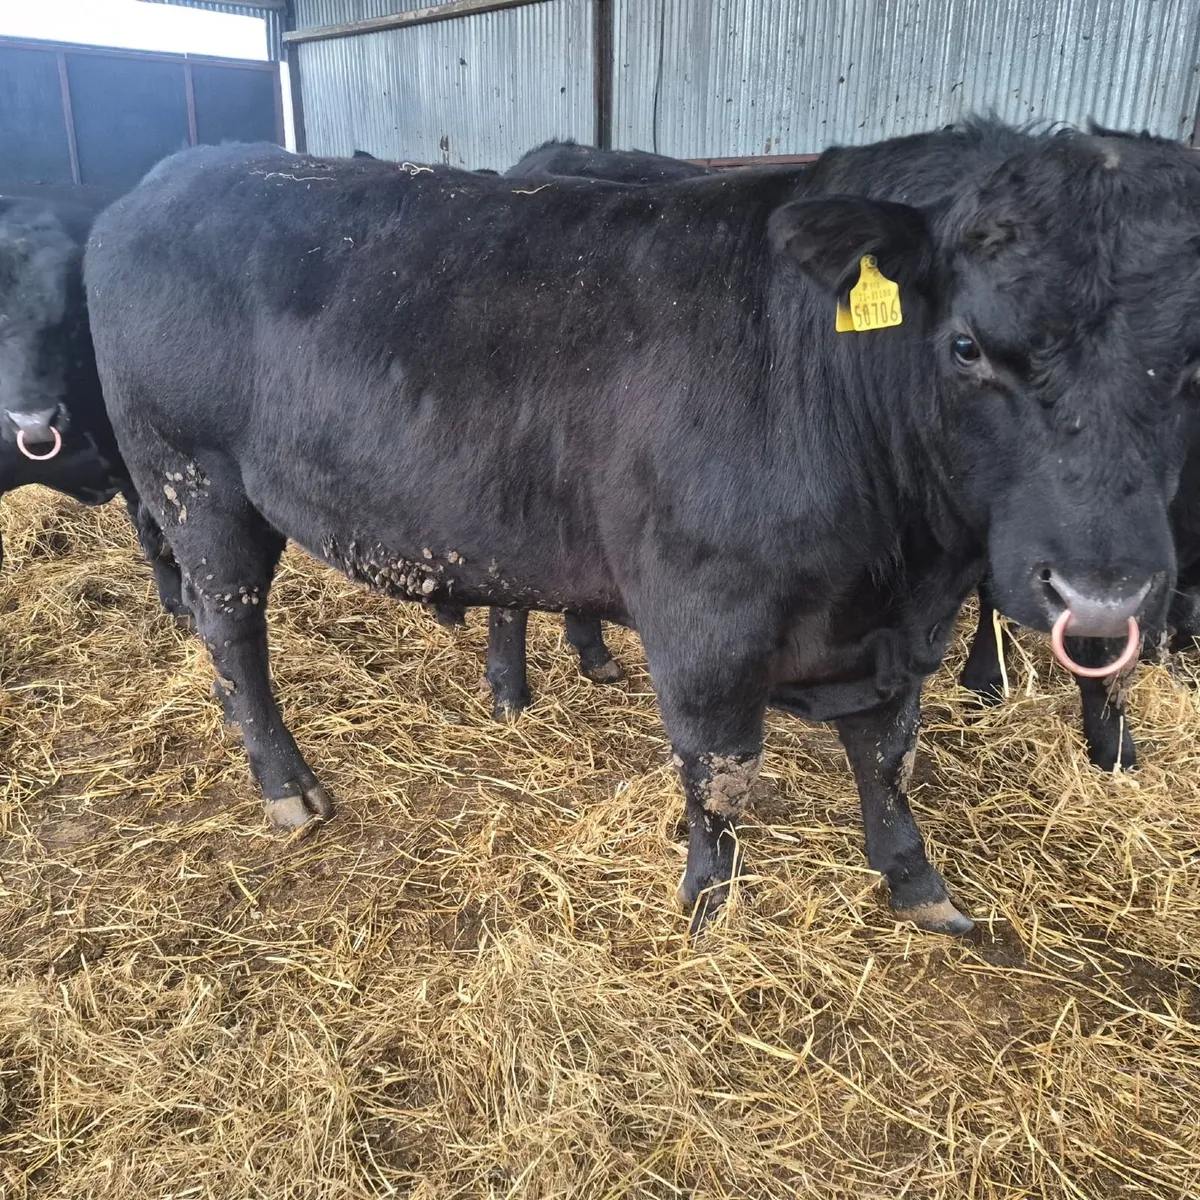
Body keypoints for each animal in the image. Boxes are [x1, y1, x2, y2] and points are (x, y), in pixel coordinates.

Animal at [85, 120, 1200, 938]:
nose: (1105, 592)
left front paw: (917, 884)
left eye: (1192, 356)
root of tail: (165, 177)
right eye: (966, 346)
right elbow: (720, 772)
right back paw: (288, 786)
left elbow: (888, 754)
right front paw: (711, 906)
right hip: (195, 483)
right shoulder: (705, 623)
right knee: (233, 637)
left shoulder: (894, 634)